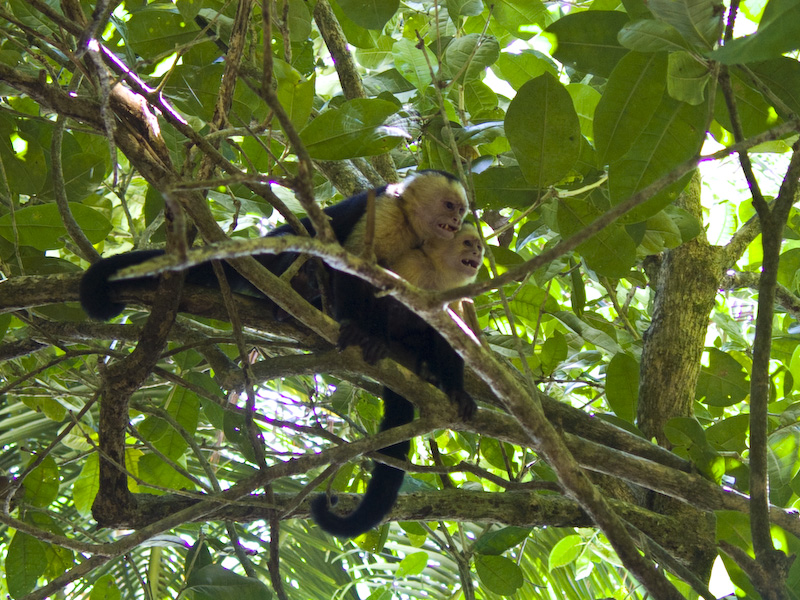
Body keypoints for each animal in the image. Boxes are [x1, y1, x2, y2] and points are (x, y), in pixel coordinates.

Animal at [310, 224, 484, 540]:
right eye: (468, 242)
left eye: (478, 245)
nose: (477, 251)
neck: (436, 273)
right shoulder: (411, 265)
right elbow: (378, 291)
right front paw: (371, 335)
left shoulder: (453, 294)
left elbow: (451, 338)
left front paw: (457, 391)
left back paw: (428, 372)